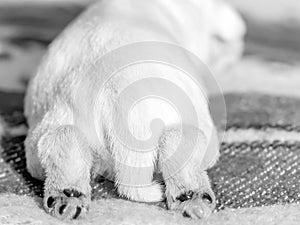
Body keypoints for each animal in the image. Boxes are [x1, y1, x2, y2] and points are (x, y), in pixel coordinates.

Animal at [22, 0, 244, 221]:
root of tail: (117, 100)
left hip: (49, 130)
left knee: (61, 140)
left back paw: (67, 198)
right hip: (196, 128)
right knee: (178, 144)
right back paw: (194, 198)